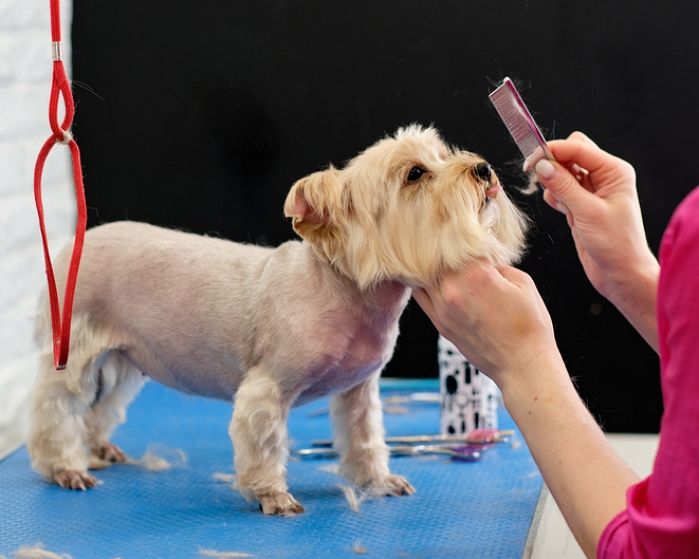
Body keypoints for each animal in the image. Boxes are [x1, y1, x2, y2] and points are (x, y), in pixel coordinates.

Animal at [28, 126, 532, 516]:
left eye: (444, 155)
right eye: (415, 174)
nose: (484, 169)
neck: (344, 291)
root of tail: (75, 245)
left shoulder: (358, 390)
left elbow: (365, 437)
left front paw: (377, 481)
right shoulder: (266, 390)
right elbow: (264, 443)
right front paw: (272, 495)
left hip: (126, 358)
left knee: (102, 405)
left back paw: (97, 448)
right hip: (75, 345)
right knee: (57, 407)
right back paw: (64, 466)